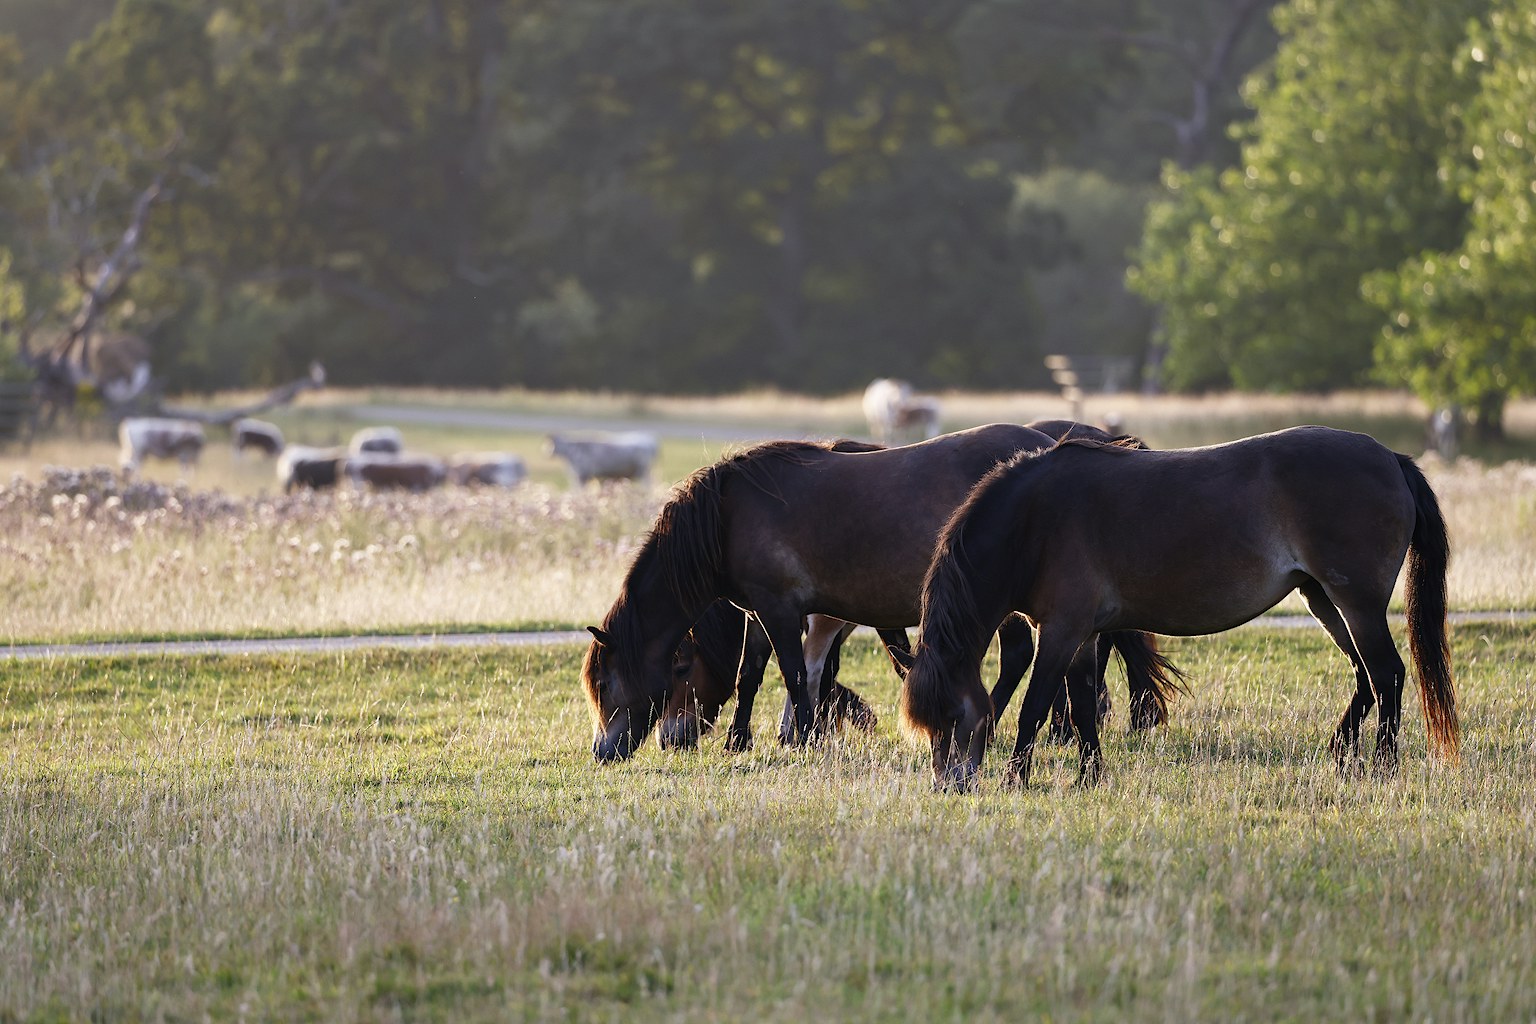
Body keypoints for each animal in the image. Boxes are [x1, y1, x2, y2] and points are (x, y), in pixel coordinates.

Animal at [581, 423, 1182, 762]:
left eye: (606, 685)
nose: (603, 752)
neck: (729, 515)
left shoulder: (780, 608)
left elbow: (790, 674)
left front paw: (799, 739)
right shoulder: (777, 610)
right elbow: (769, 673)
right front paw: (754, 739)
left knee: (1021, 656)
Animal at [901, 426, 1459, 791]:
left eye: (953, 715)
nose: (950, 786)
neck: (1032, 521)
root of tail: (1390, 457)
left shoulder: (1059, 631)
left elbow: (1035, 707)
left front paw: (1016, 778)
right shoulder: (1081, 635)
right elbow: (1081, 707)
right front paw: (1089, 776)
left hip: (1355, 602)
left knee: (1386, 674)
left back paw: (1383, 765)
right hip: (1323, 597)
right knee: (1364, 674)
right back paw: (1342, 752)